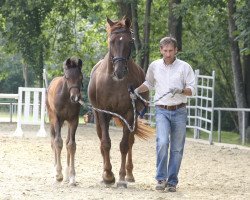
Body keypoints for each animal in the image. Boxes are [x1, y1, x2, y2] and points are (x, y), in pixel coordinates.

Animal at [46, 56, 83, 186]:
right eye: (67, 77)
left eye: (81, 77)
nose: (75, 97)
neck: (66, 98)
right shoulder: (57, 119)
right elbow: (57, 142)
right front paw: (58, 175)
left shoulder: (74, 120)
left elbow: (71, 145)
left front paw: (72, 177)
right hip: (52, 119)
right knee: (53, 141)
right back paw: (55, 171)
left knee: (66, 142)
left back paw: (66, 175)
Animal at [88, 17, 148, 188]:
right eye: (111, 41)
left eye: (130, 42)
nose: (119, 71)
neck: (115, 82)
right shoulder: (102, 113)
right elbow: (105, 143)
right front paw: (108, 175)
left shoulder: (129, 114)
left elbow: (124, 145)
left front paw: (121, 177)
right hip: (98, 117)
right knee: (102, 140)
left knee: (130, 142)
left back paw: (129, 174)